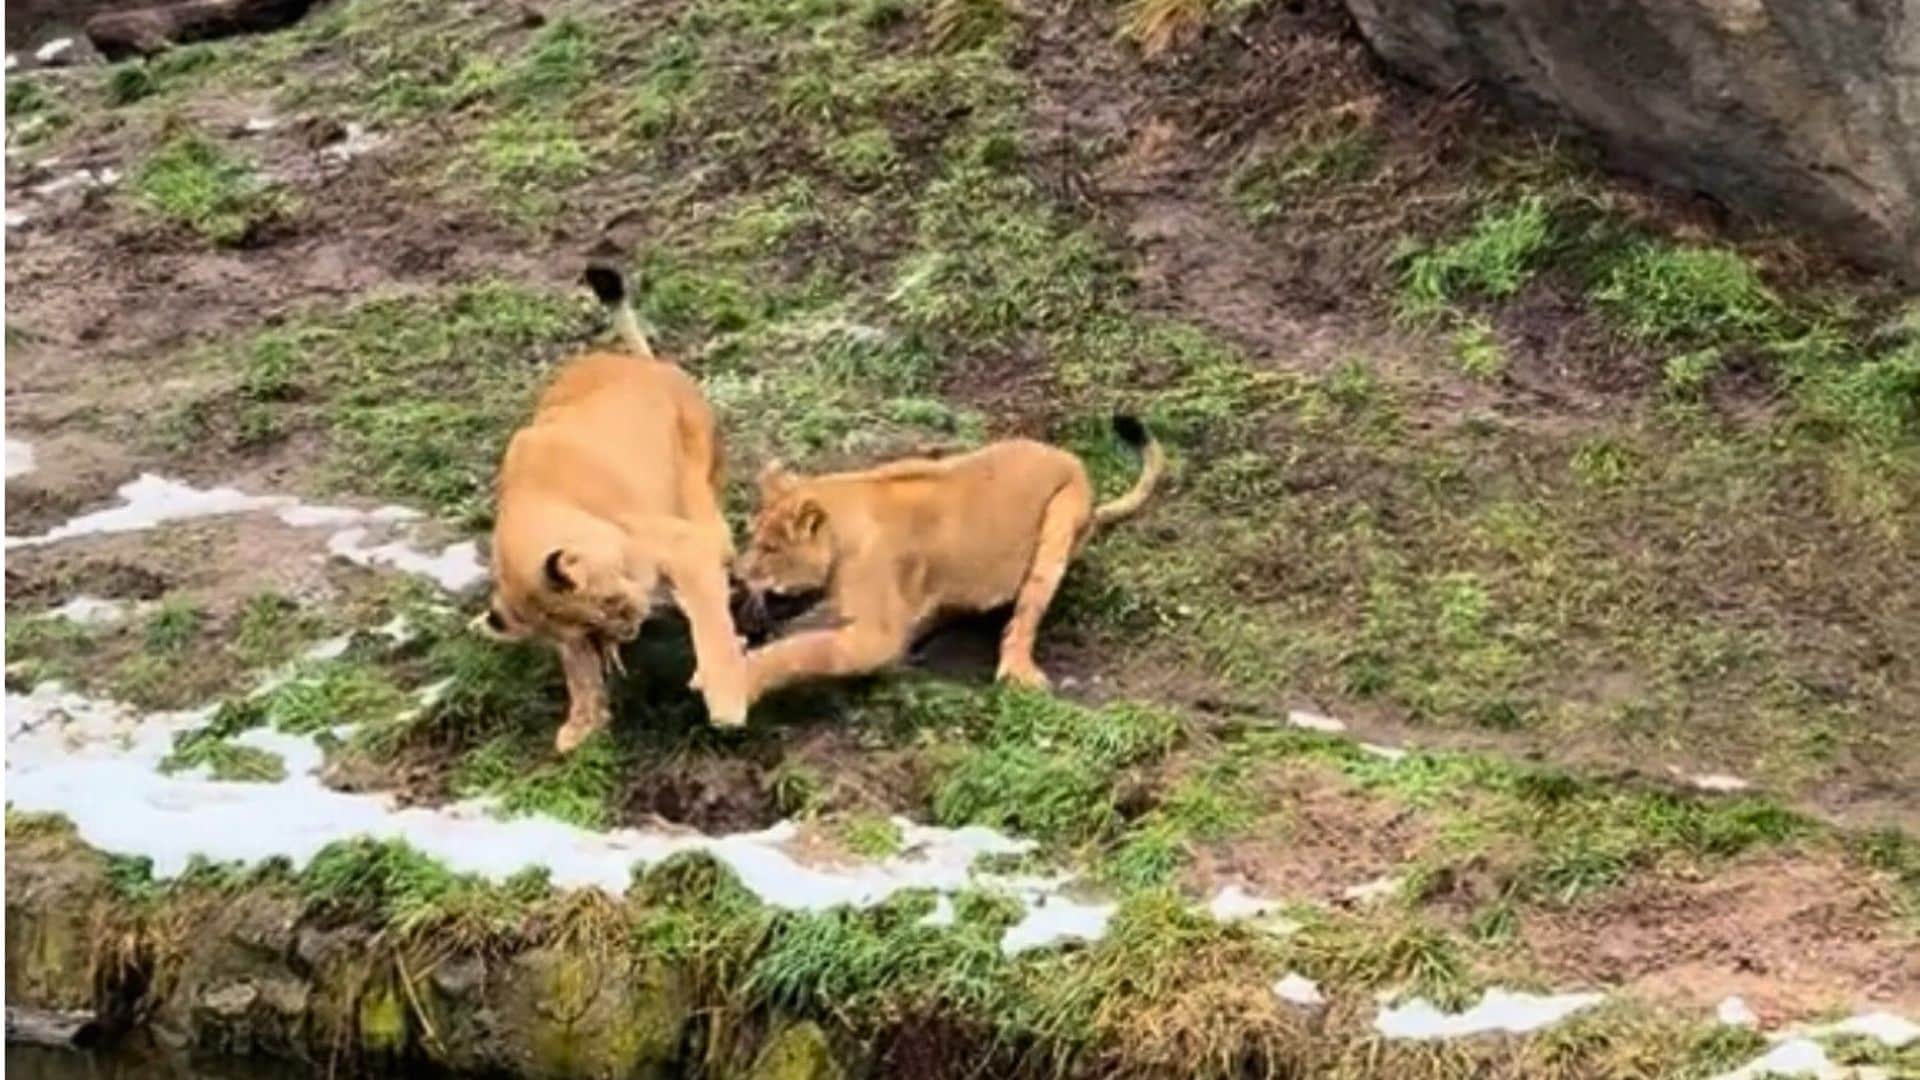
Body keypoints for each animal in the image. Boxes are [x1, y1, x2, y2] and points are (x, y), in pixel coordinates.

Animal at [472, 262, 747, 752]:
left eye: (607, 607)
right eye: (593, 634)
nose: (628, 632)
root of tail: (643, 363)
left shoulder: (683, 546)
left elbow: (711, 627)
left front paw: (727, 703)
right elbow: (577, 670)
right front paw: (583, 722)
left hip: (698, 486)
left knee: (719, 542)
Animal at [731, 416, 1164, 701]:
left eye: (769, 549)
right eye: (753, 539)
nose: (736, 575)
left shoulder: (873, 638)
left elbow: (799, 651)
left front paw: (738, 681)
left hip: (1060, 520)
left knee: (1024, 617)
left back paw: (1017, 674)